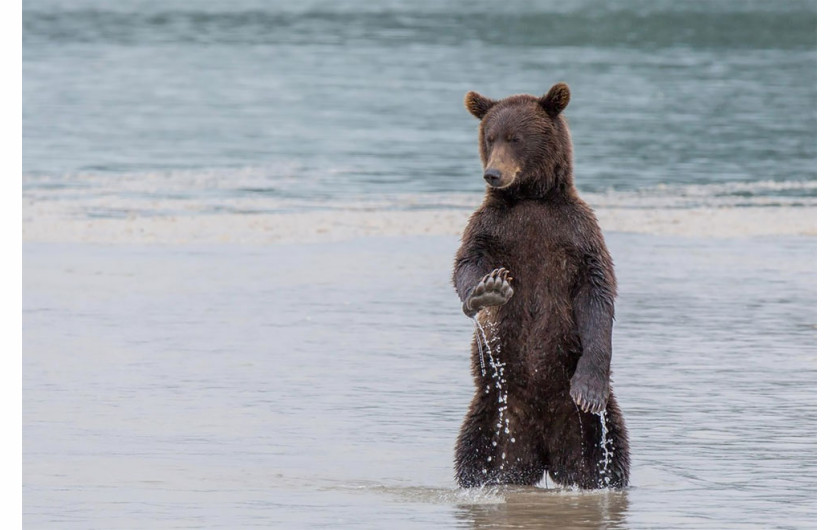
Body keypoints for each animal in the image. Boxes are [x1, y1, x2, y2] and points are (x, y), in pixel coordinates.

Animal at [452, 79, 632, 486]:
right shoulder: (492, 228)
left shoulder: (576, 234)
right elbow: (466, 263)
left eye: (516, 138)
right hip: (494, 416)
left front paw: (588, 388)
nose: (493, 174)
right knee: (474, 456)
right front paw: (488, 290)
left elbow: (597, 294)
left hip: (589, 429)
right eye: (490, 137)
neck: (531, 197)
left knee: (611, 455)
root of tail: (546, 455)